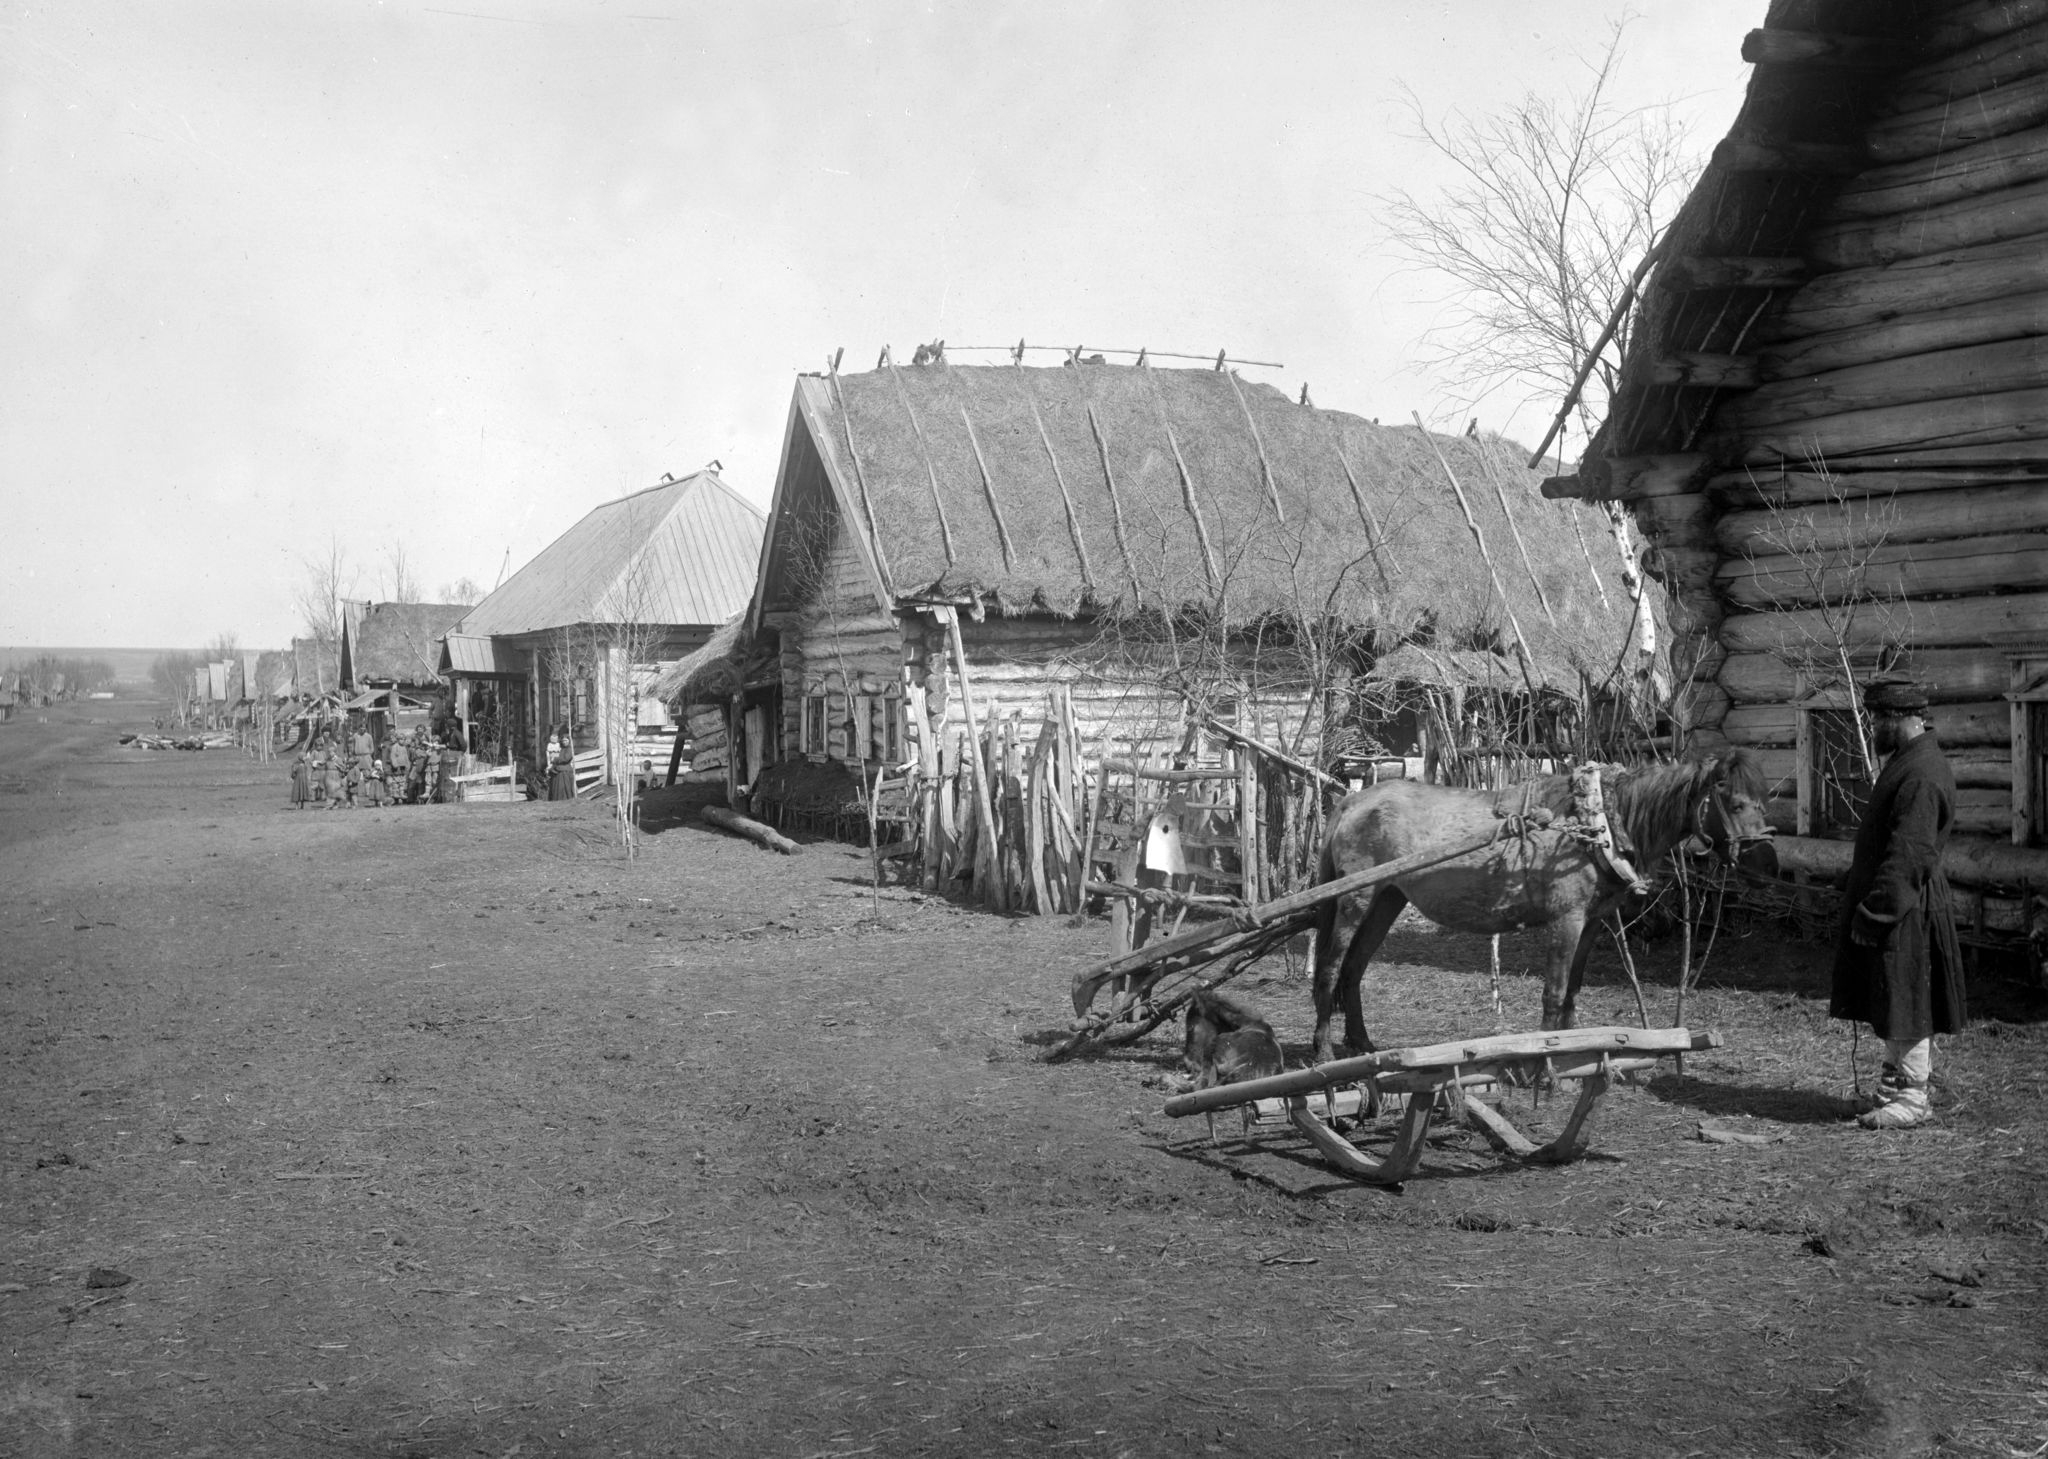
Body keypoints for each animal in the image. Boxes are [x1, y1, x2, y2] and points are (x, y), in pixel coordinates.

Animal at [1310, 754, 1777, 1057]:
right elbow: (1553, 991)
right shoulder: (1565, 920)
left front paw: (1574, 1055)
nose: (1767, 859)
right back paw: (1323, 1053)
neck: (1597, 824)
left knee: (1353, 969)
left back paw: (1361, 1045)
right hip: (1354, 898)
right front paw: (1547, 1059)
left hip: (1387, 899)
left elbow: (1572, 989)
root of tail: (1353, 801)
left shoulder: (1592, 922)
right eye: (1735, 803)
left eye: (1763, 801)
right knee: (1330, 967)